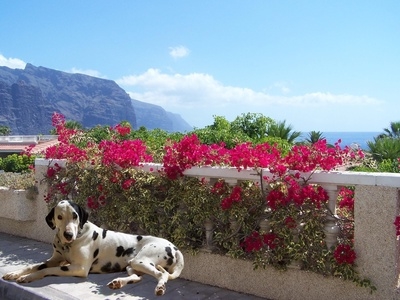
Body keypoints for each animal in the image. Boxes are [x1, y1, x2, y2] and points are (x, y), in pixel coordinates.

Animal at [2, 200, 184, 296]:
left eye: (75, 216)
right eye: (59, 217)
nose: (68, 234)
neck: (70, 243)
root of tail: (174, 246)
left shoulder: (78, 268)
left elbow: (45, 270)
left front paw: (28, 277)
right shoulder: (55, 259)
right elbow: (34, 265)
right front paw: (15, 273)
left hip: (141, 260)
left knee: (162, 274)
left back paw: (160, 287)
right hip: (132, 265)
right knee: (137, 277)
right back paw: (118, 282)